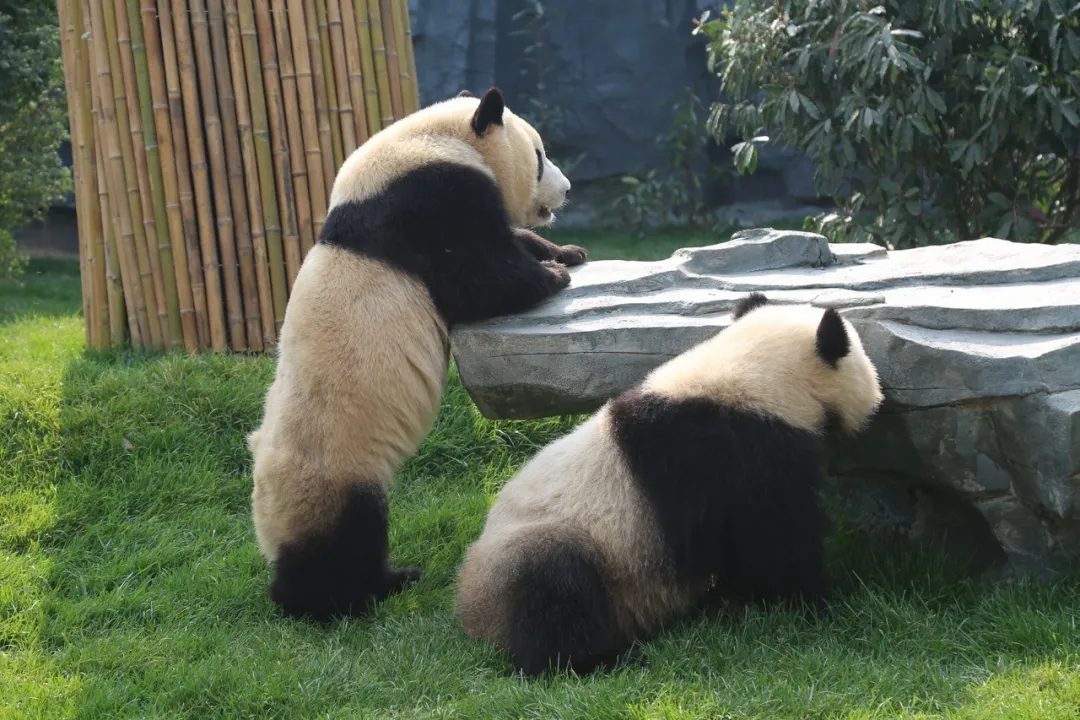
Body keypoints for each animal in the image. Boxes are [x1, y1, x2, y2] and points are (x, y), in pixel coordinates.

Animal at [247, 87, 587, 621]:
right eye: (539, 157)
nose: (567, 189)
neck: (434, 141)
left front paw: (565, 251)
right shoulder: (430, 202)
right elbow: (479, 280)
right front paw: (553, 275)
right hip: (333, 475)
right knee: (347, 539)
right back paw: (366, 590)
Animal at [455, 293, 885, 677]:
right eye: (862, 359)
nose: (877, 401)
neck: (756, 376)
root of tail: (473, 617)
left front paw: (735, 599)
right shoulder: (738, 451)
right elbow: (775, 538)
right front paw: (812, 602)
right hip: (535, 555)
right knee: (552, 583)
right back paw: (597, 661)